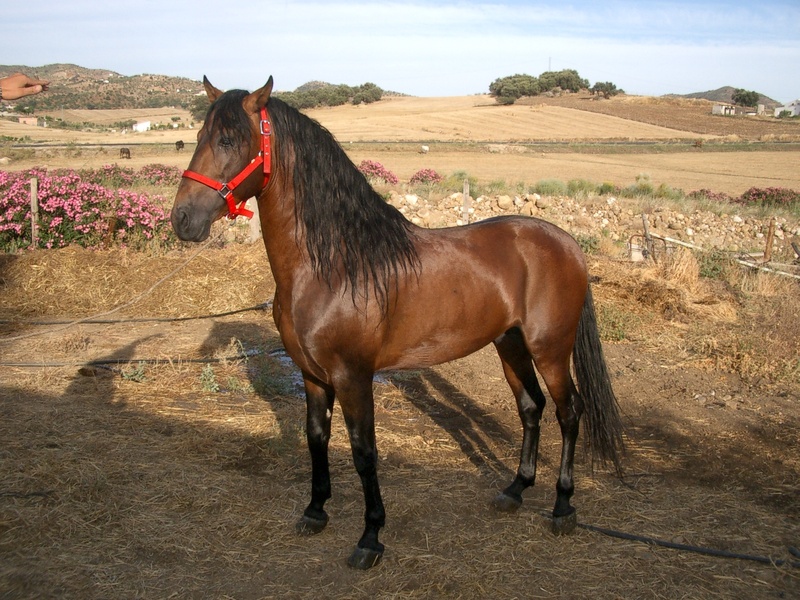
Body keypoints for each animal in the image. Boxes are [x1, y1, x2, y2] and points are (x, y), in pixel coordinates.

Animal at [170, 76, 624, 570]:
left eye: (229, 140)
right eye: (199, 137)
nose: (181, 219)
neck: (333, 266)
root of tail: (568, 243)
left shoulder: (353, 376)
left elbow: (364, 452)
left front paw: (370, 537)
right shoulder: (312, 376)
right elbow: (316, 439)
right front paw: (315, 511)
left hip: (550, 349)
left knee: (568, 411)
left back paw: (562, 507)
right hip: (510, 345)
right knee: (531, 408)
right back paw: (515, 490)